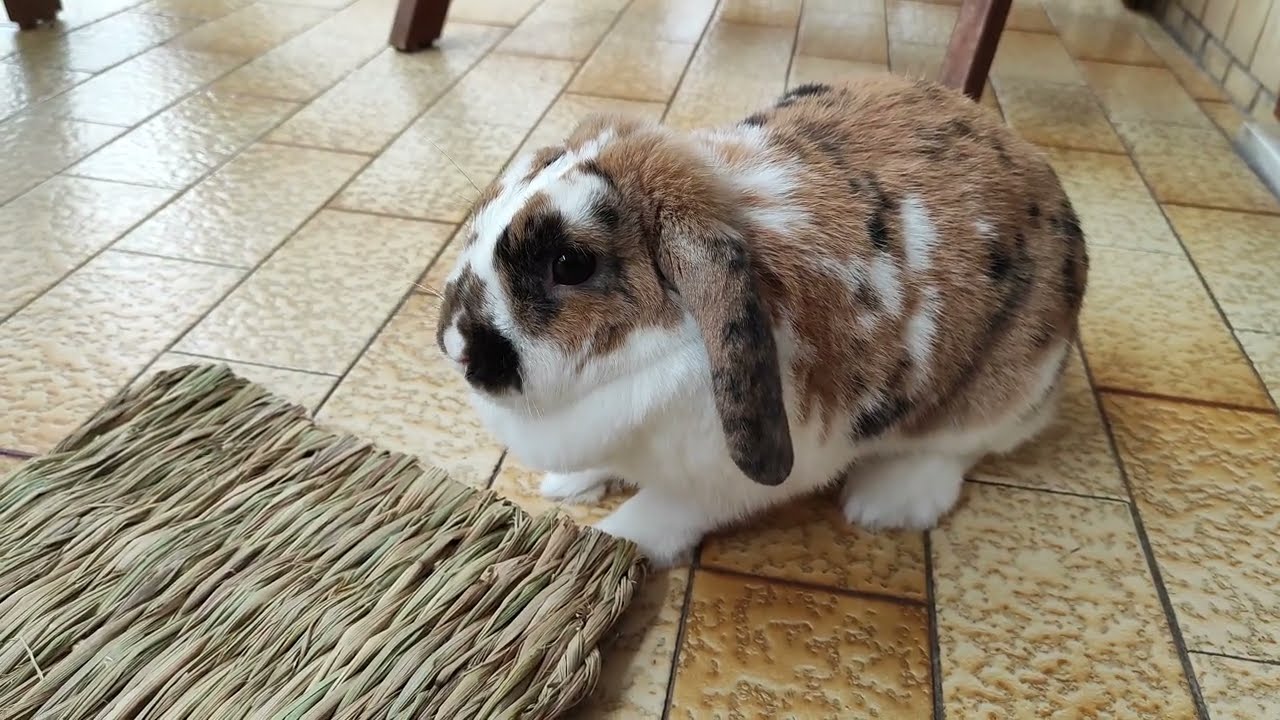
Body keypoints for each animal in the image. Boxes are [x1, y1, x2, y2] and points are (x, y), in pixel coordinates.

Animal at [435, 74, 1088, 568]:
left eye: (571, 263)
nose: (456, 346)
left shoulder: (728, 475)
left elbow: (668, 510)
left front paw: (612, 538)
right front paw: (568, 484)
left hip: (1001, 389)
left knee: (965, 445)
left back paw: (884, 503)